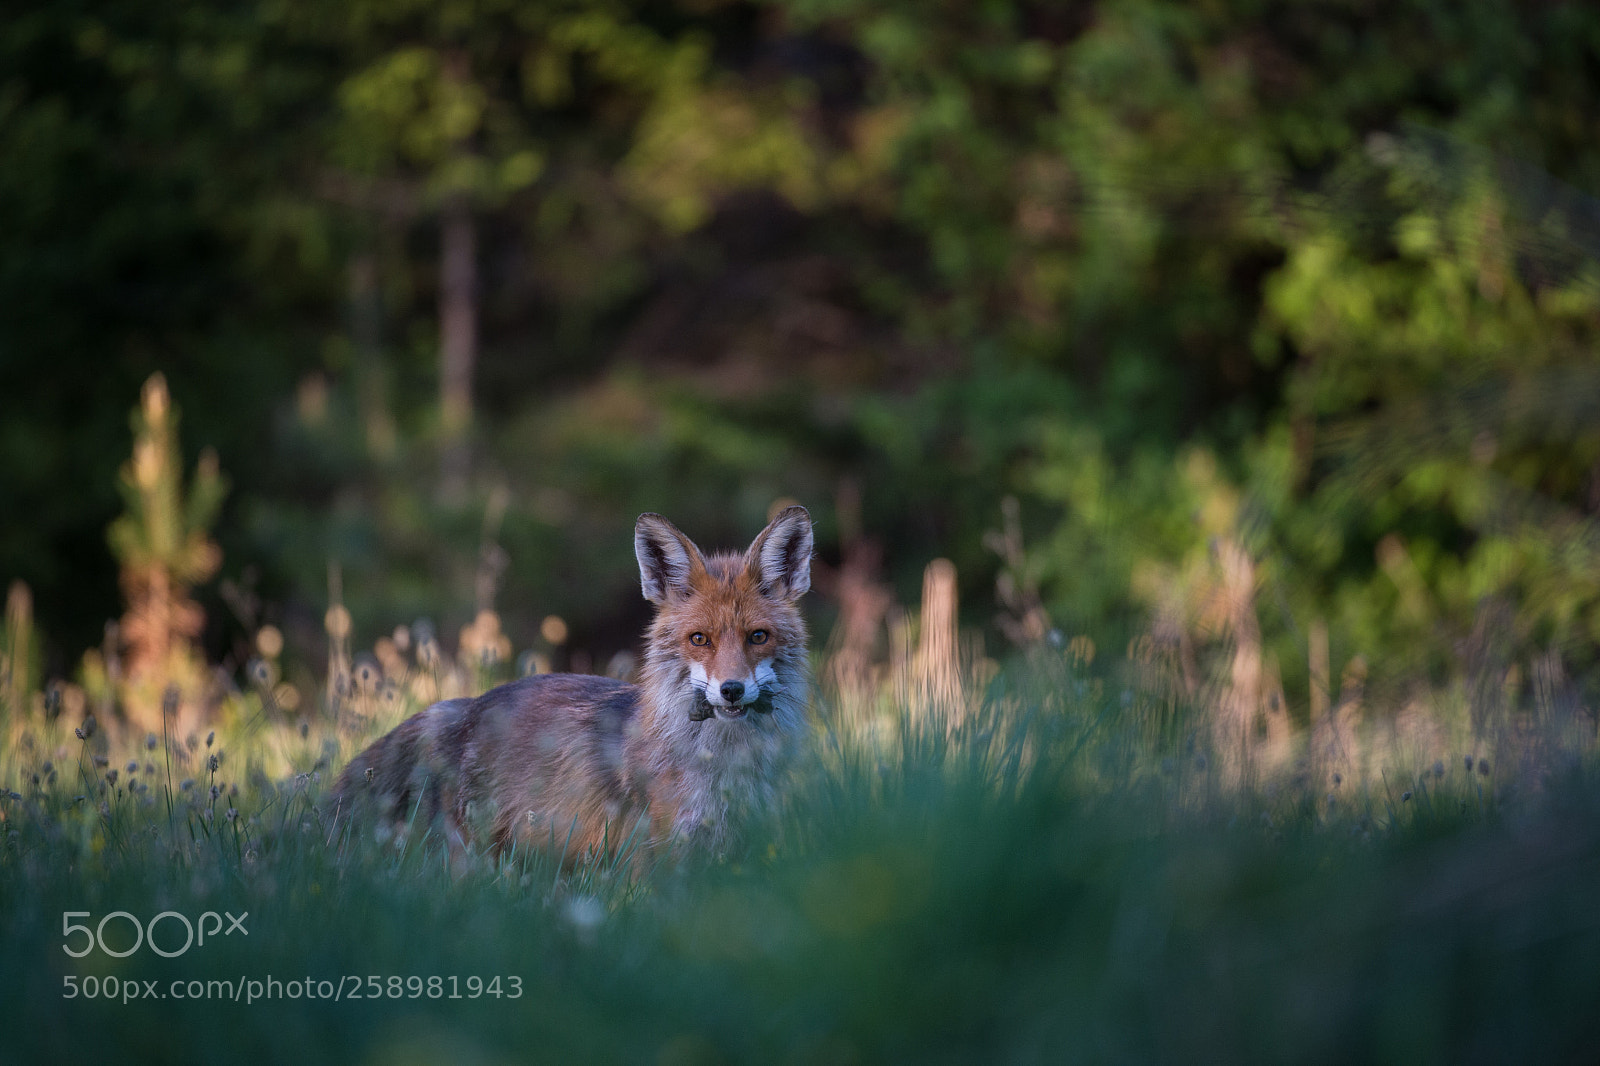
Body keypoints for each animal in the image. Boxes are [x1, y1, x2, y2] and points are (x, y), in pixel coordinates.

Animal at [328, 505, 813, 865]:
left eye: (758, 637)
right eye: (699, 639)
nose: (731, 689)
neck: (728, 767)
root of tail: (463, 707)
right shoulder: (657, 857)